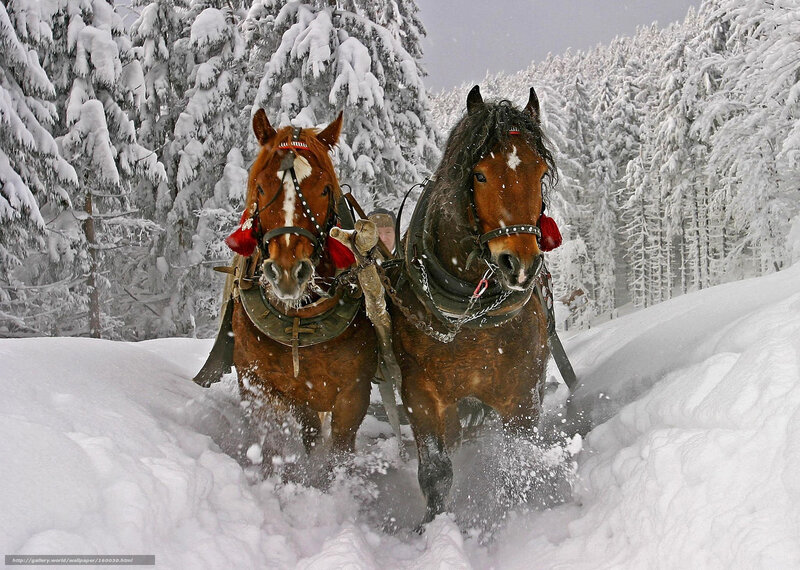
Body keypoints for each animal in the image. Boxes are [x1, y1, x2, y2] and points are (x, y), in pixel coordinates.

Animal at [194, 109, 378, 476]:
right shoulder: (260, 386)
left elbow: (339, 452)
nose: (289, 272)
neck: (299, 319)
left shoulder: (353, 392)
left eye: (325, 189)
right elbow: (273, 445)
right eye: (261, 186)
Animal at [388, 85, 558, 525]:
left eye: (540, 173)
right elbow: (436, 472)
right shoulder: (420, 395)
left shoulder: (522, 395)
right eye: (479, 174)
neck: (470, 316)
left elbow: (518, 463)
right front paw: (433, 527)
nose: (520, 264)